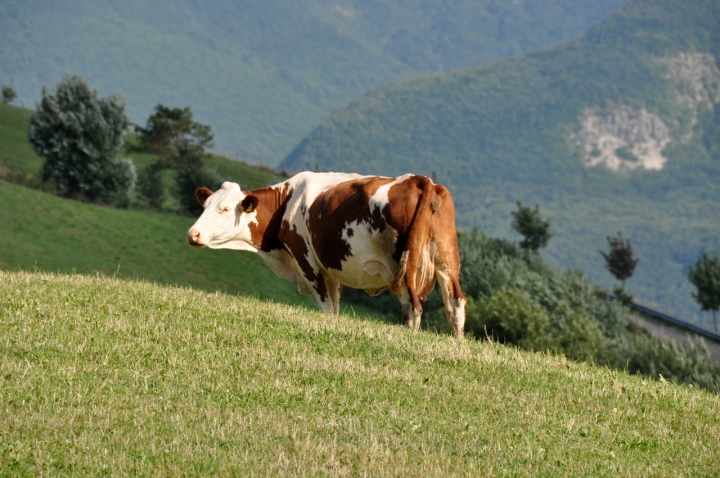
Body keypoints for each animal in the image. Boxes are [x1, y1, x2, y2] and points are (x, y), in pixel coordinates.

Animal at [186, 171, 466, 336]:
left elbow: (326, 307)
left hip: (406, 269)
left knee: (413, 309)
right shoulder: (332, 271)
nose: (193, 234)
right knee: (455, 304)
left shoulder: (307, 262)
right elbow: (335, 308)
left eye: (224, 209)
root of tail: (421, 180)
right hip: (446, 259)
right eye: (205, 205)